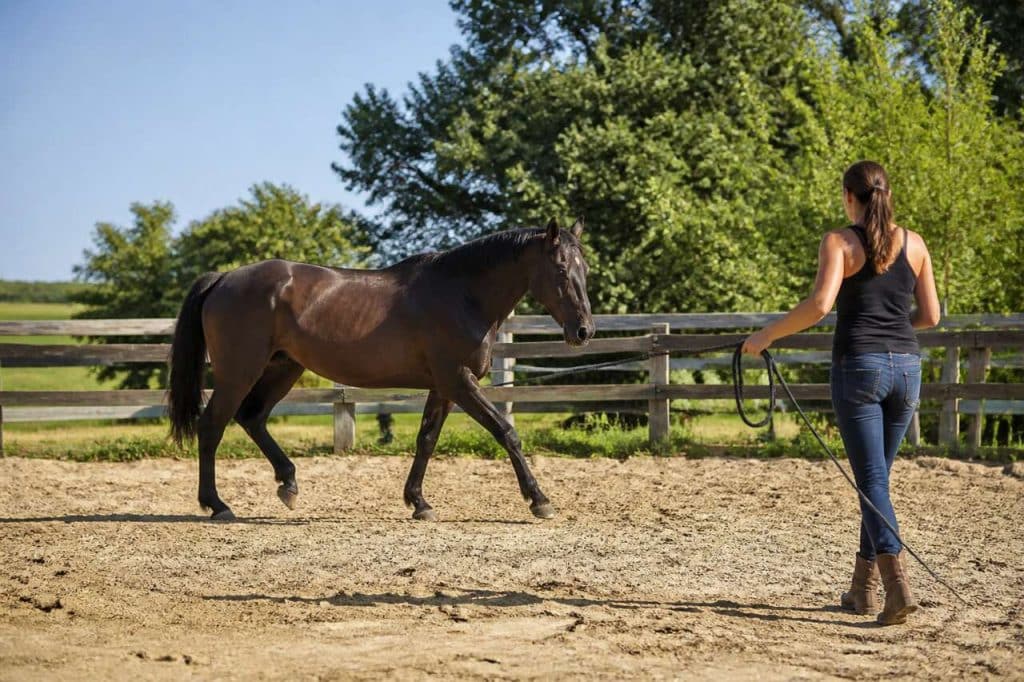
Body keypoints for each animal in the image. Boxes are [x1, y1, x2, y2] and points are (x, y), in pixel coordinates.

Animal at [167, 219, 594, 521]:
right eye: (560, 270)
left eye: (584, 269)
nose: (584, 331)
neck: (462, 294)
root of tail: (223, 278)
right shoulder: (459, 381)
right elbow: (506, 432)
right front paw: (539, 500)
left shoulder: (443, 387)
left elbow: (426, 441)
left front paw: (418, 502)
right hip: (239, 372)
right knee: (212, 426)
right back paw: (217, 504)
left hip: (282, 368)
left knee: (251, 417)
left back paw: (288, 483)